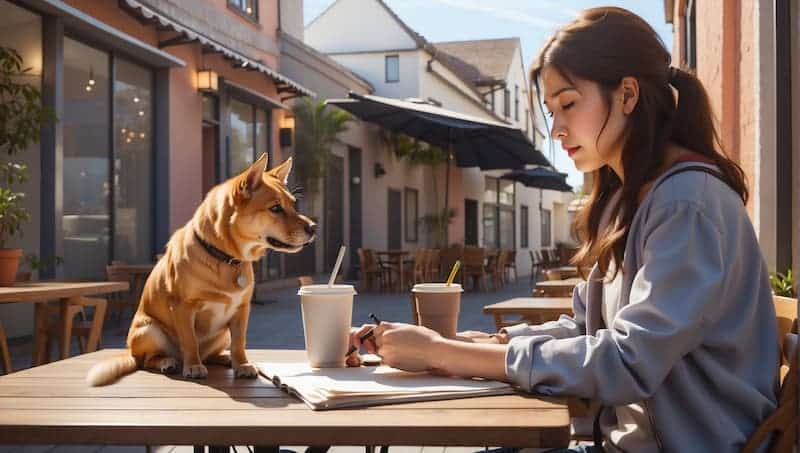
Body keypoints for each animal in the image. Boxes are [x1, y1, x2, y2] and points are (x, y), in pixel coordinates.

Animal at [86, 154, 312, 384]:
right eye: (275, 208)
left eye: (293, 205)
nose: (313, 227)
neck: (226, 258)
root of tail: (130, 351)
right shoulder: (183, 307)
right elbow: (190, 341)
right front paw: (193, 365)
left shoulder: (242, 310)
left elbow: (239, 343)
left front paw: (241, 364)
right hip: (149, 330)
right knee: (148, 360)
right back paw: (169, 362)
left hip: (222, 334)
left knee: (212, 353)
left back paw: (224, 358)